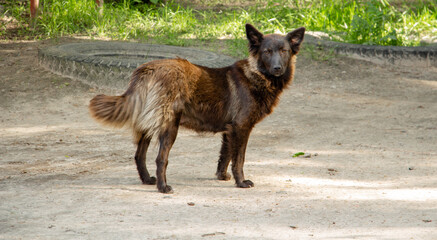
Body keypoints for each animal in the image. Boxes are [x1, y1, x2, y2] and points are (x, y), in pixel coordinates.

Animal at [89, 23, 304, 193]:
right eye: (267, 52)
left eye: (283, 51)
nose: (277, 68)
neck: (257, 75)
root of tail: (148, 69)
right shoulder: (241, 128)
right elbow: (239, 159)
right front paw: (241, 182)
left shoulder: (229, 131)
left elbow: (225, 156)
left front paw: (221, 176)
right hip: (170, 127)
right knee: (161, 159)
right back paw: (163, 187)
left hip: (148, 124)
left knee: (139, 155)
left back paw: (147, 180)